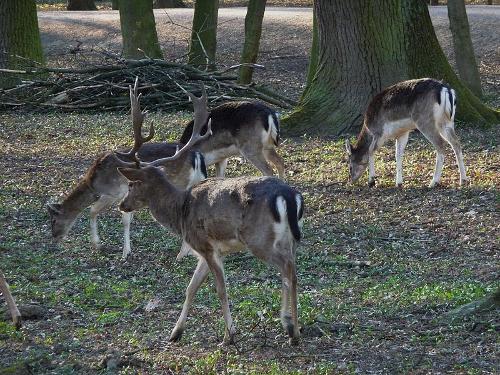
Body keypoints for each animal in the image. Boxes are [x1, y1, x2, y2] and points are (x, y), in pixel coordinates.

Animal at [47, 78, 208, 262]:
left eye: (53, 220)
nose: (55, 236)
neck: (94, 182)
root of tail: (197, 155)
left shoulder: (115, 192)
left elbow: (98, 212)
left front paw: (117, 250)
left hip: (180, 183)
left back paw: (181, 253)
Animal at [117, 83, 304, 346]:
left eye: (132, 184)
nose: (122, 204)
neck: (180, 212)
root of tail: (290, 197)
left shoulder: (205, 245)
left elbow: (220, 288)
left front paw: (229, 335)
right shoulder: (206, 251)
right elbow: (190, 288)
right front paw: (175, 333)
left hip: (259, 238)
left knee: (287, 269)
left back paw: (293, 331)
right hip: (289, 238)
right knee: (292, 269)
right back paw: (288, 324)